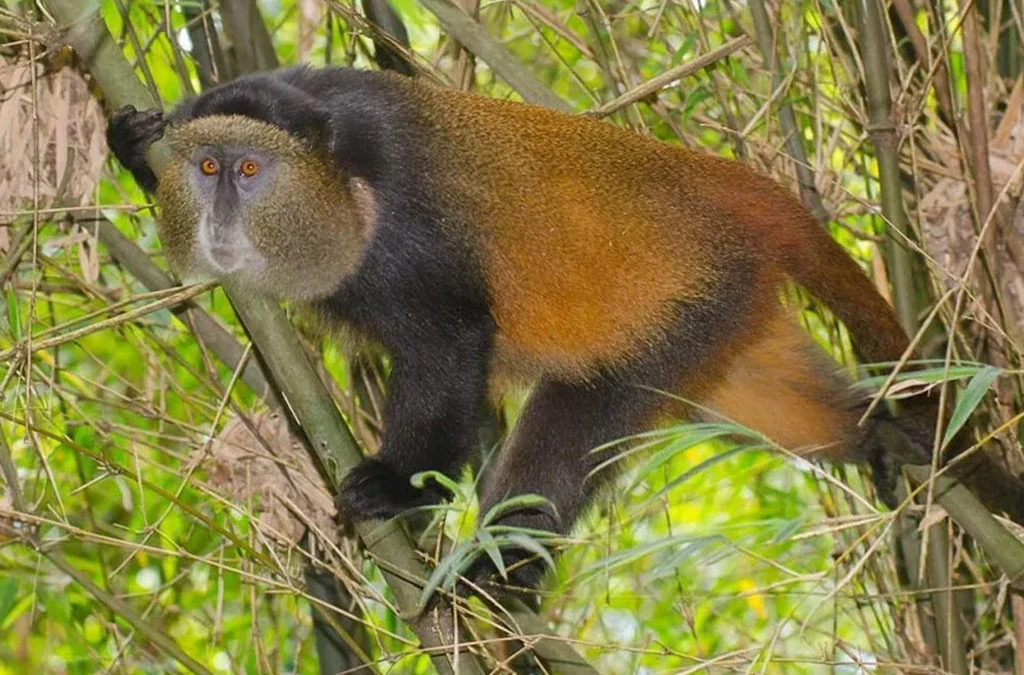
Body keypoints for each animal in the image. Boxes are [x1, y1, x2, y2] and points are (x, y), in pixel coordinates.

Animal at [107, 66, 1024, 591]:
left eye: (249, 169)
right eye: (206, 166)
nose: (220, 214)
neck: (334, 170)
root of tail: (726, 184)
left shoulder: (405, 234)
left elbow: (451, 347)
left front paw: (399, 488)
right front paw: (131, 141)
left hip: (685, 307)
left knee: (576, 422)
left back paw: (494, 572)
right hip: (726, 323)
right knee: (786, 405)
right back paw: (881, 433)